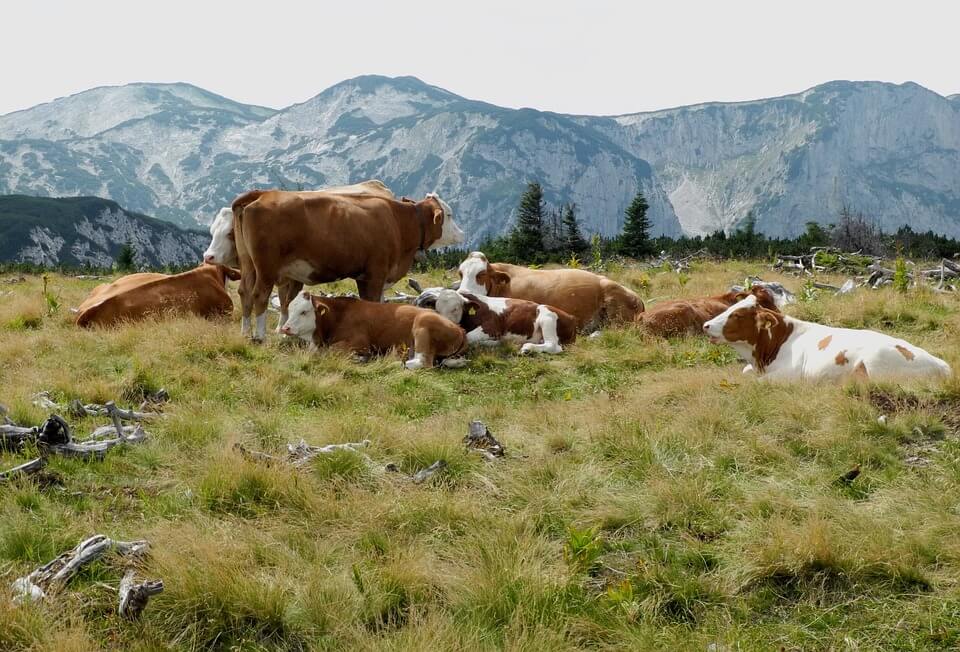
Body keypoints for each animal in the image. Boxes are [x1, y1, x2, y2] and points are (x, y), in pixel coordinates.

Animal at [202, 180, 396, 330]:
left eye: (229, 233)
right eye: (212, 231)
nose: (208, 257)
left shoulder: (291, 275)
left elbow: (286, 301)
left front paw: (282, 328)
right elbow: (284, 300)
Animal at [233, 190, 464, 341]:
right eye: (449, 215)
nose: (462, 233)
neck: (399, 223)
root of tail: (263, 193)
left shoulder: (368, 276)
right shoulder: (375, 274)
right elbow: (373, 302)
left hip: (247, 263)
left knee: (244, 291)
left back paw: (245, 333)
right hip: (266, 267)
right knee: (260, 295)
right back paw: (260, 336)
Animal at [279, 292, 468, 370]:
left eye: (304, 311)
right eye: (290, 309)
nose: (285, 328)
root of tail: (460, 329)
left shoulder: (360, 342)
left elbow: (333, 350)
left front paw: (360, 358)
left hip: (423, 325)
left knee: (424, 363)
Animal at [432, 289, 577, 354]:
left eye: (455, 309)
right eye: (437, 310)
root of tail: (571, 317)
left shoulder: (492, 328)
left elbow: (469, 337)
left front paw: (495, 342)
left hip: (547, 316)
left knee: (554, 346)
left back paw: (527, 348)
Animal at [702, 286, 952, 381]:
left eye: (737, 314)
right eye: (732, 307)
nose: (706, 325)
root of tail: (941, 364)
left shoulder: (790, 375)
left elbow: (758, 382)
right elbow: (745, 373)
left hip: (876, 363)